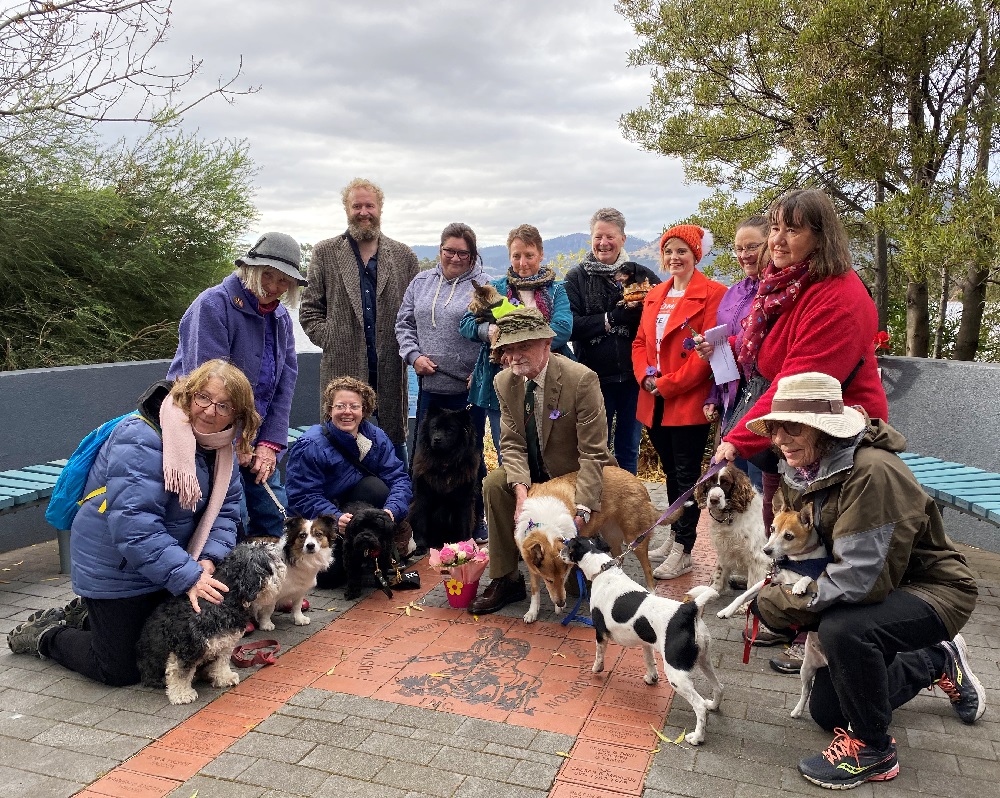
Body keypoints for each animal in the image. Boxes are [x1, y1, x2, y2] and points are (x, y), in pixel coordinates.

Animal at [135, 544, 284, 708]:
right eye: (271, 558)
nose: (283, 561)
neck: (224, 599)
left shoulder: (225, 644)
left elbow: (222, 663)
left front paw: (224, 678)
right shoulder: (187, 647)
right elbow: (180, 673)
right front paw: (182, 694)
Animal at [410, 406, 480, 552]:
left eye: (450, 430)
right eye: (435, 427)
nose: (437, 439)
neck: (444, 462)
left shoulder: (464, 499)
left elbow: (465, 522)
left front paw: (466, 543)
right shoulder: (422, 495)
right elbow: (420, 520)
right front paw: (420, 545)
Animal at [560, 536, 724, 752]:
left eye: (569, 545)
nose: (559, 550)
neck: (603, 570)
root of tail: (689, 609)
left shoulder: (600, 633)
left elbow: (599, 655)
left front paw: (596, 669)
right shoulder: (646, 642)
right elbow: (648, 661)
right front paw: (651, 678)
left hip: (677, 674)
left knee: (699, 707)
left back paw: (697, 737)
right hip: (704, 660)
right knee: (719, 687)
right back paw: (713, 705)